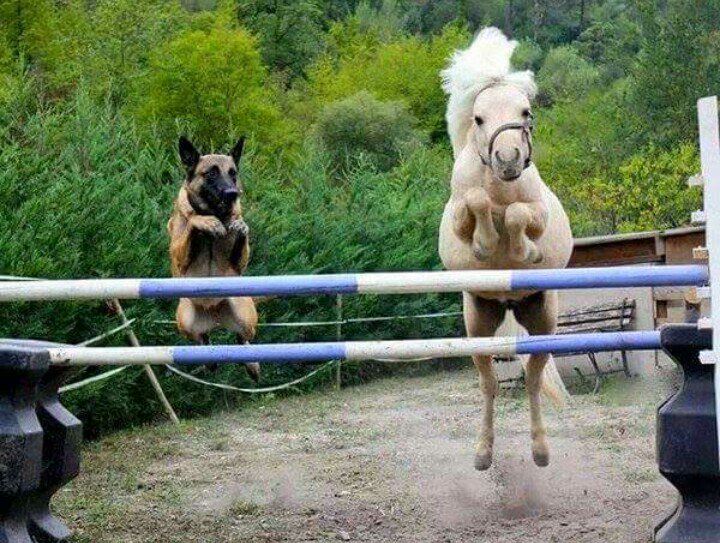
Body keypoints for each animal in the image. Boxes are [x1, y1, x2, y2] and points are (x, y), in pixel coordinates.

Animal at [438, 27, 573, 471]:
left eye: (525, 112)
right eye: (479, 119)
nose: (509, 158)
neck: (500, 183)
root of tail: (510, 306)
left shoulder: (538, 214)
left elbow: (516, 214)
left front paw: (524, 253)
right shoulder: (460, 214)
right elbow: (477, 203)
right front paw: (484, 246)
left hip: (543, 321)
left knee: (532, 380)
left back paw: (540, 452)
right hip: (478, 324)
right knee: (489, 385)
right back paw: (483, 453)